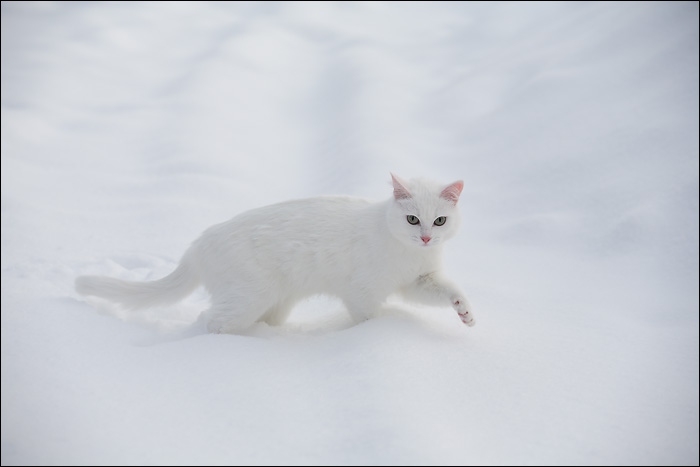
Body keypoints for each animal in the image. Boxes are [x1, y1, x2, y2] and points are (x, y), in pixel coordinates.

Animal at [76, 175, 476, 332]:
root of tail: (199, 243)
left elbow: (447, 290)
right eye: (412, 218)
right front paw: (372, 333)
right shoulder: (362, 289)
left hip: (275, 304)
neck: (409, 256)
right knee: (209, 321)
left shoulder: (419, 280)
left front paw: (465, 312)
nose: (425, 238)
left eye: (439, 220)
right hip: (247, 297)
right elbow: (368, 315)